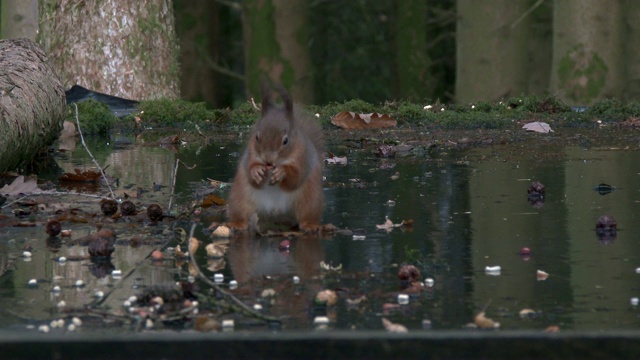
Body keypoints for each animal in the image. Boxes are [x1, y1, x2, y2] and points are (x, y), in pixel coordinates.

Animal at [226, 83, 324, 232]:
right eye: (257, 137)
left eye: (285, 141)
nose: (268, 160)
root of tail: (276, 214)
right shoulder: (250, 154)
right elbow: (250, 168)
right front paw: (256, 171)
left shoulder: (303, 158)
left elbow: (295, 177)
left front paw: (281, 172)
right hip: (239, 198)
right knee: (241, 214)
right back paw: (237, 224)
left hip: (311, 199)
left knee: (307, 215)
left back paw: (310, 225)